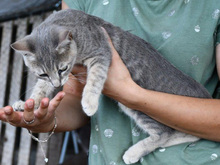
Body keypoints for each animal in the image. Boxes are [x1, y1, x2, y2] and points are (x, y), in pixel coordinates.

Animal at [11, 9, 211, 164]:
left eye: (63, 69)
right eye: (43, 74)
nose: (58, 83)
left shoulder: (101, 53)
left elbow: (95, 78)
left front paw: (89, 103)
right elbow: (40, 88)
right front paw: (29, 103)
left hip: (137, 106)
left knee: (165, 133)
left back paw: (133, 152)